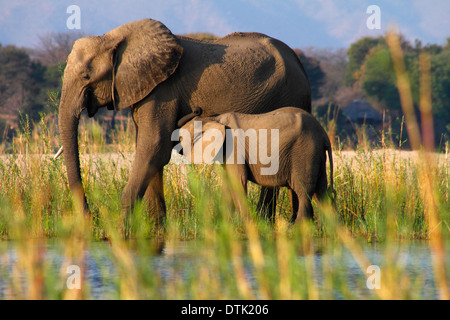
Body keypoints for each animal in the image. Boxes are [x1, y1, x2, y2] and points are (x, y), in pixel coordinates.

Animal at [58, 18, 312, 226]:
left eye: (85, 77)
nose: (90, 219)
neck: (111, 38)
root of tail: (300, 63)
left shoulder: (163, 90)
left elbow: (154, 146)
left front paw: (124, 231)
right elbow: (149, 149)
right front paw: (156, 229)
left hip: (289, 94)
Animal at [176, 106, 334, 221]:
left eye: (181, 138)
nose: (197, 109)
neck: (214, 118)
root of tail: (324, 135)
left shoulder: (234, 149)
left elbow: (238, 181)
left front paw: (246, 225)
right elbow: (228, 184)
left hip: (305, 153)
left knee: (304, 192)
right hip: (316, 156)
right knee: (321, 193)